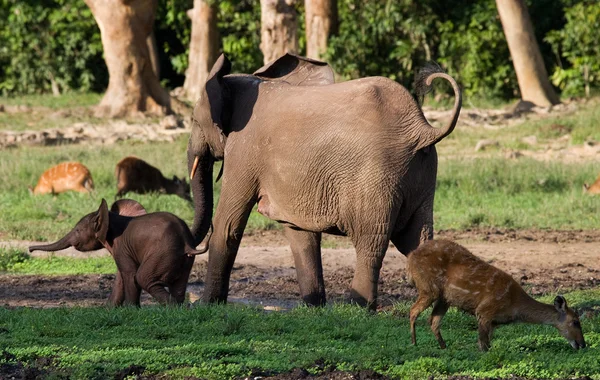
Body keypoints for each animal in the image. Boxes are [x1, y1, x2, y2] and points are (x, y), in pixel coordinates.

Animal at [29, 199, 207, 306]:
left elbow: (129, 274)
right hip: (184, 260)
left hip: (163, 253)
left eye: (78, 230)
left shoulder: (121, 247)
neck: (111, 218)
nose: (30, 249)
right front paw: (110, 309)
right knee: (178, 285)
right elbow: (121, 276)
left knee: (143, 278)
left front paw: (131, 310)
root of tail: (187, 244)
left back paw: (173, 307)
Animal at [190, 53, 462, 308]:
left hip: (377, 176)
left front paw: (205, 306)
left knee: (370, 243)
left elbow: (228, 225)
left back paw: (358, 307)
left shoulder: (244, 149)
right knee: (418, 241)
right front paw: (313, 307)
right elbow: (299, 233)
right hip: (422, 173)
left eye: (193, 120)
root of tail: (423, 129)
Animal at [406, 239, 584, 352]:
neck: (514, 306)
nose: (583, 344)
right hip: (428, 287)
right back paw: (414, 344)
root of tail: (410, 257)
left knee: (433, 320)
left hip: (444, 298)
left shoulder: (494, 322)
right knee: (413, 311)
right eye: (575, 322)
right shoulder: (485, 310)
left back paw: (444, 347)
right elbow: (483, 346)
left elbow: (487, 344)